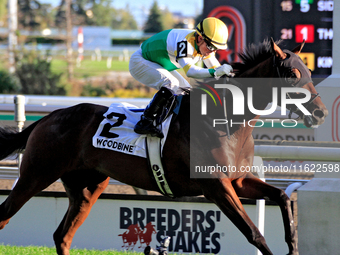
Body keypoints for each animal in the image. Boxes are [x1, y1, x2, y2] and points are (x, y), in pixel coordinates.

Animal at [0, 39, 326, 255]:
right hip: (36, 175)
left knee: (62, 236)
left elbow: (282, 197)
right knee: (5, 216)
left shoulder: (239, 180)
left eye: (310, 73)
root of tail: (46, 119)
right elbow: (255, 233)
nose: (321, 112)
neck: (225, 121)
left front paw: (293, 244)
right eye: (293, 75)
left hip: (87, 188)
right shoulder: (217, 186)